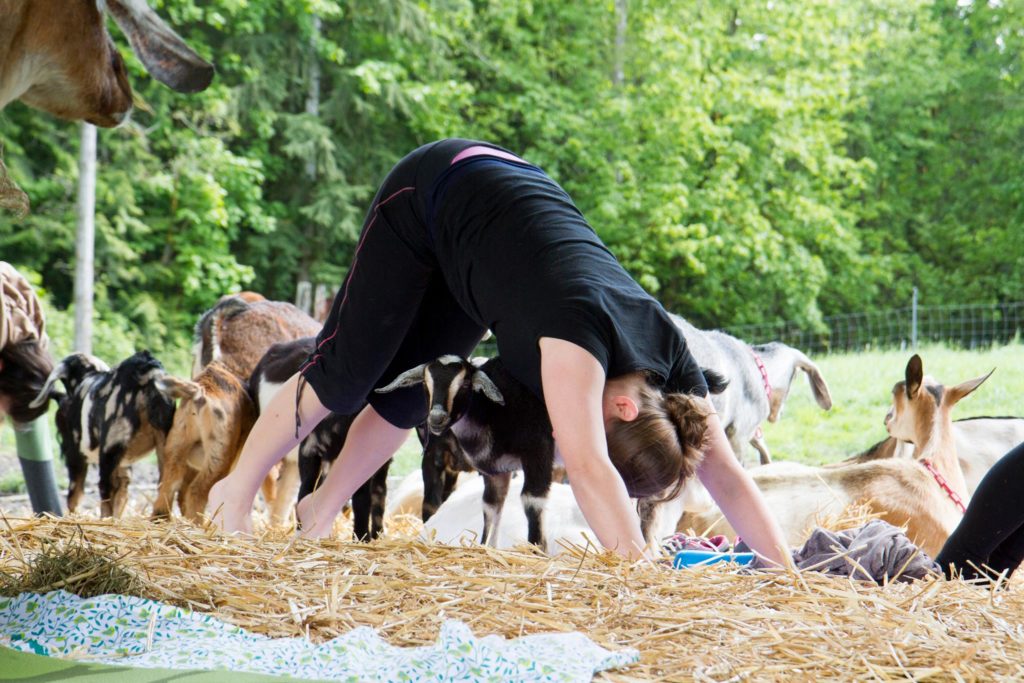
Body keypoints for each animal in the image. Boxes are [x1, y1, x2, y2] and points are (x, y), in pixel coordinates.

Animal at [28, 352, 176, 518]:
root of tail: (145, 374)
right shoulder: (124, 464)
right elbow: (121, 497)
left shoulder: (76, 456)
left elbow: (75, 497)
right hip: (163, 446)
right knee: (163, 484)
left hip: (107, 450)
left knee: (103, 490)